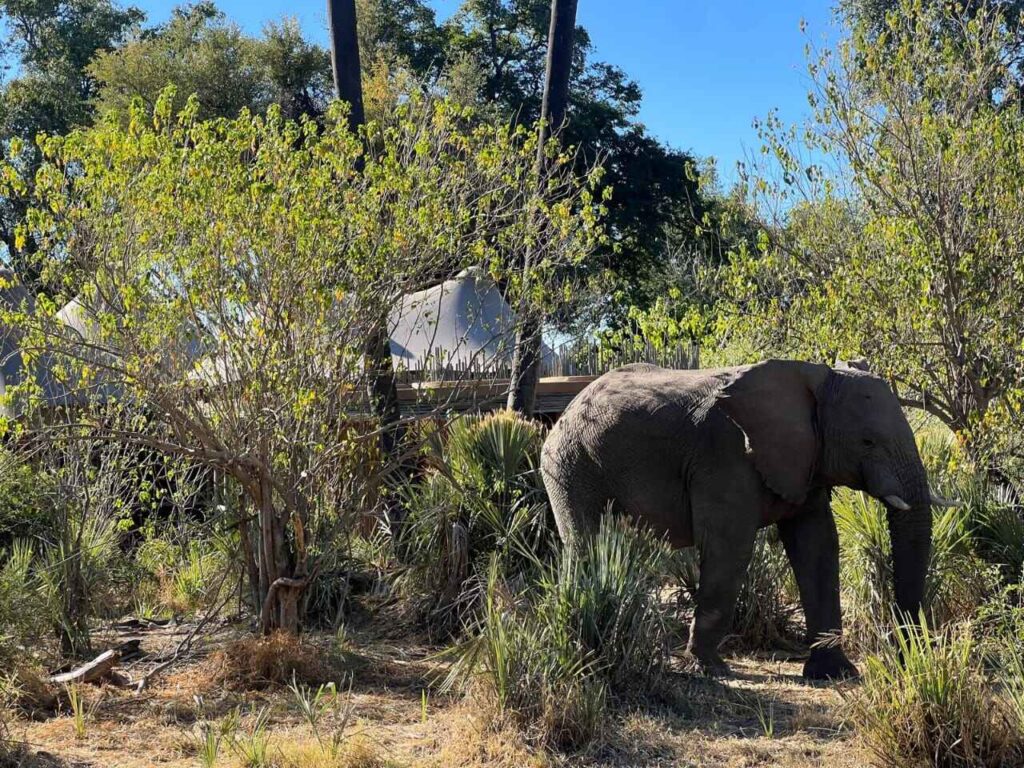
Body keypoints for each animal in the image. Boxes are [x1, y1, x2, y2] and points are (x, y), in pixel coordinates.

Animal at [540, 359, 957, 680]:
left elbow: (818, 545)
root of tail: (570, 405)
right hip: (570, 465)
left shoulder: (805, 459)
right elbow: (730, 546)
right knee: (585, 544)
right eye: (867, 442)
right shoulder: (725, 456)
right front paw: (711, 670)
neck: (813, 380)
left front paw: (834, 674)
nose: (903, 658)